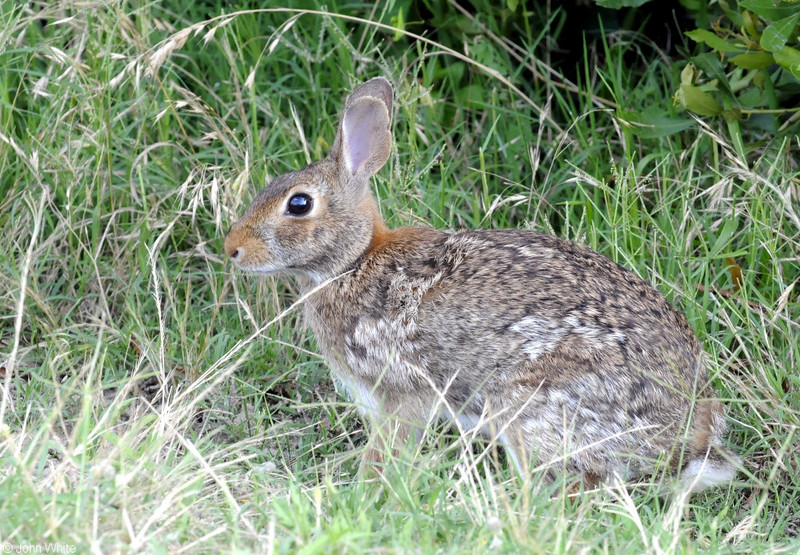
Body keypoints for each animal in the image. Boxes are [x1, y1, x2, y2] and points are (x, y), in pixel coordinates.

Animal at [223, 76, 736, 494]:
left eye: (299, 204)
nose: (232, 249)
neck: (353, 262)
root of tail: (688, 436)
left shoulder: (403, 392)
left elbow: (389, 448)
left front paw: (366, 489)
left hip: (530, 404)